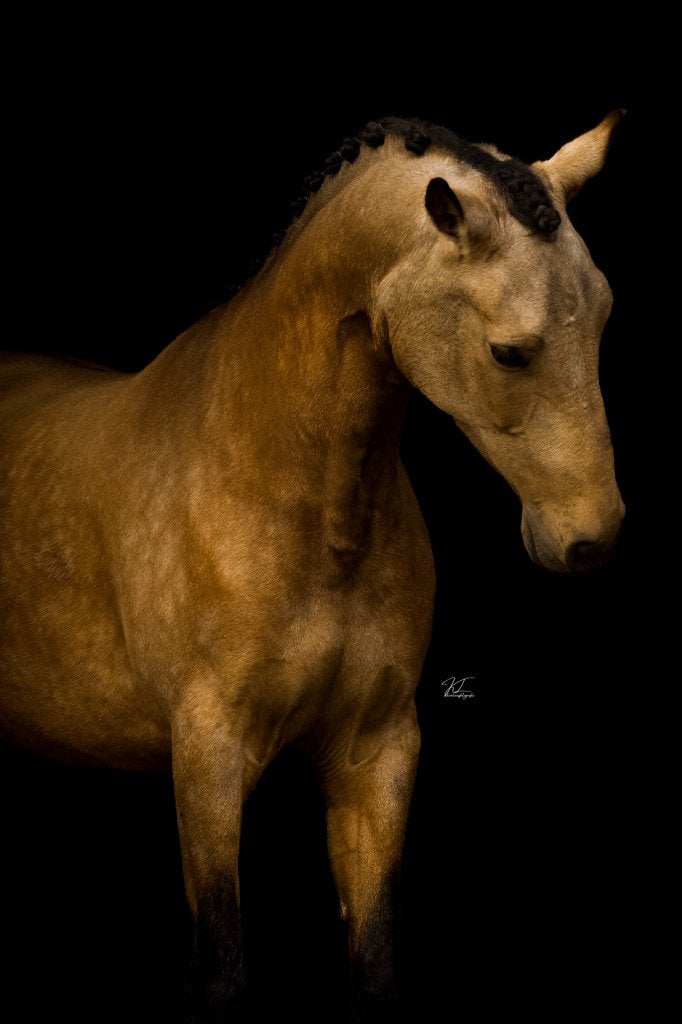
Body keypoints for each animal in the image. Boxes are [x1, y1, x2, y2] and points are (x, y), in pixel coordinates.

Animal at [0, 111, 625, 1022]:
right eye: (511, 351)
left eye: (604, 314)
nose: (592, 536)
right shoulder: (209, 755)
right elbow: (221, 964)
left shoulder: (377, 753)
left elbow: (374, 959)